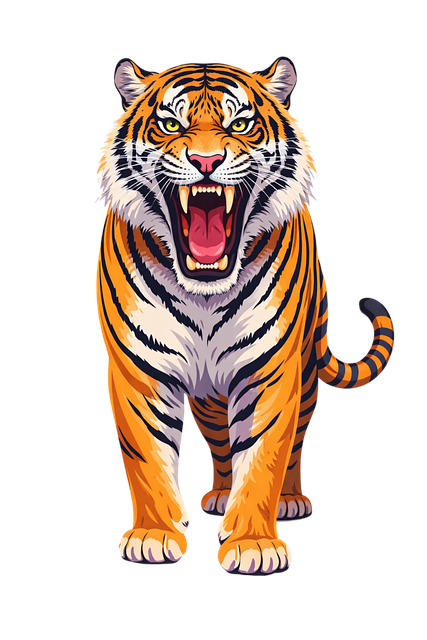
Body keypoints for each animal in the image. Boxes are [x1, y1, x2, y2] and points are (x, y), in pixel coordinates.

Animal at [95, 57, 395, 576]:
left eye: (240, 125)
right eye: (170, 125)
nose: (206, 162)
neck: (204, 293)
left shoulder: (269, 370)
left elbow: (263, 458)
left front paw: (254, 544)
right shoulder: (140, 370)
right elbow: (148, 456)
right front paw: (153, 536)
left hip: (306, 373)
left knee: (294, 438)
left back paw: (290, 501)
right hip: (209, 396)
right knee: (218, 440)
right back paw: (217, 494)